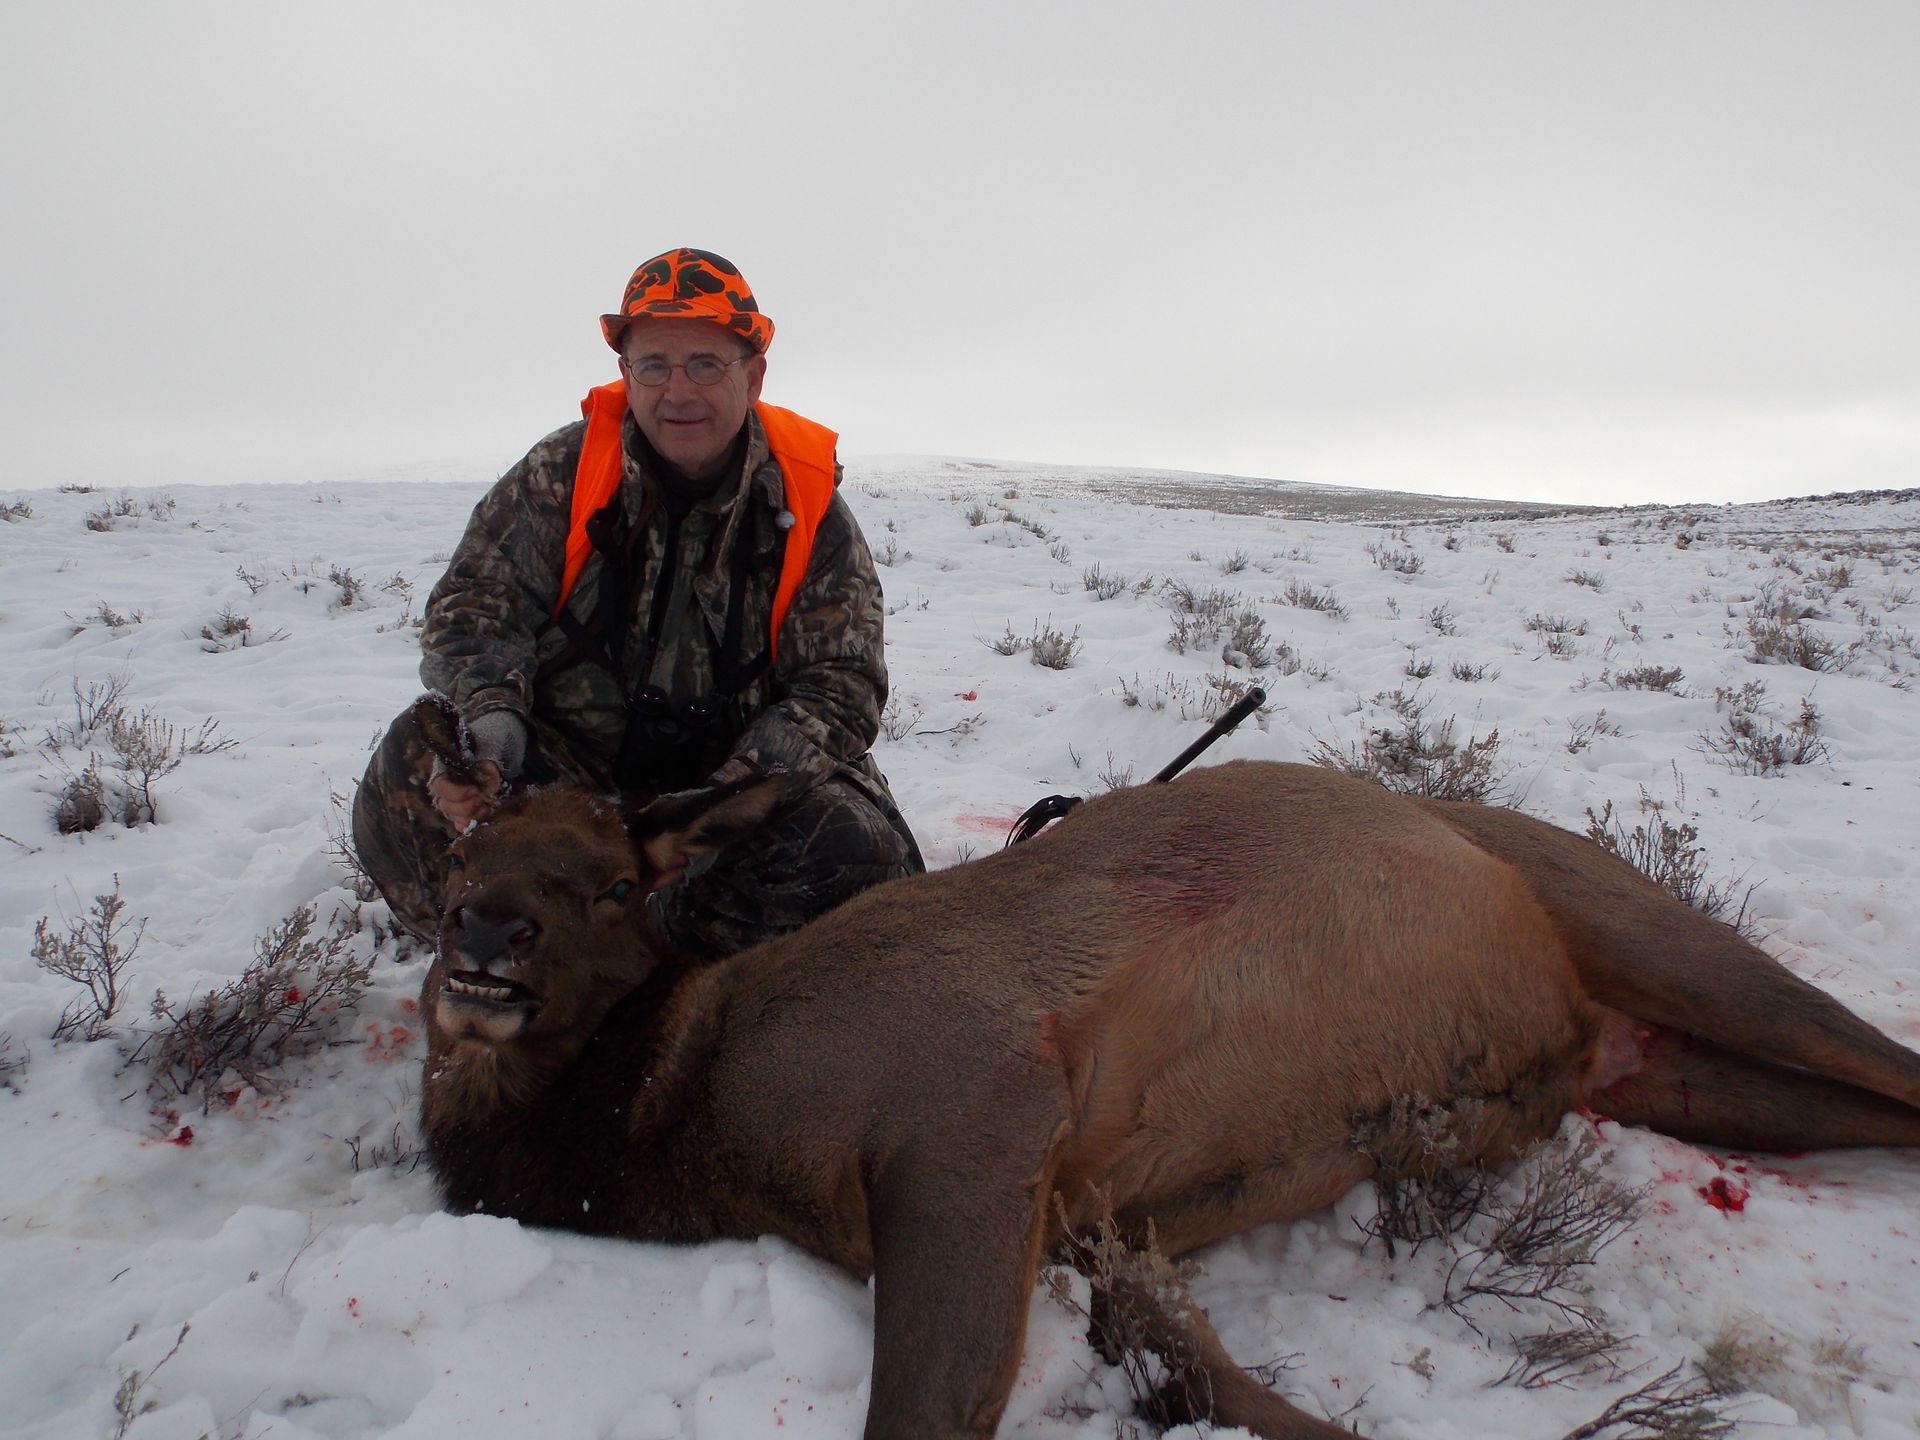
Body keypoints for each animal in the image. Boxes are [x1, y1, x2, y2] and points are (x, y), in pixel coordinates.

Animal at [418, 759, 1920, 1440]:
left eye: (616, 884)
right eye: (464, 860)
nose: (487, 936)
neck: (676, 1130)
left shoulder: (974, 1097)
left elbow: (924, 1415)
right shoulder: (1089, 1215)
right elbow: (1228, 1385)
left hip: (1645, 926)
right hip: (1667, 1067)